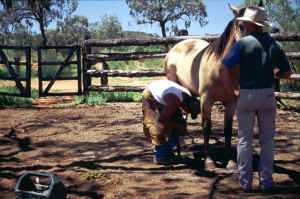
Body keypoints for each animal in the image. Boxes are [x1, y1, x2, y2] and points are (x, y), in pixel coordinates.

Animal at [164, 3, 251, 162]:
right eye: (241, 26)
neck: (221, 69)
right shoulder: (206, 100)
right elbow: (206, 127)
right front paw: (208, 157)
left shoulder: (231, 102)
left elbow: (227, 129)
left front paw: (229, 158)